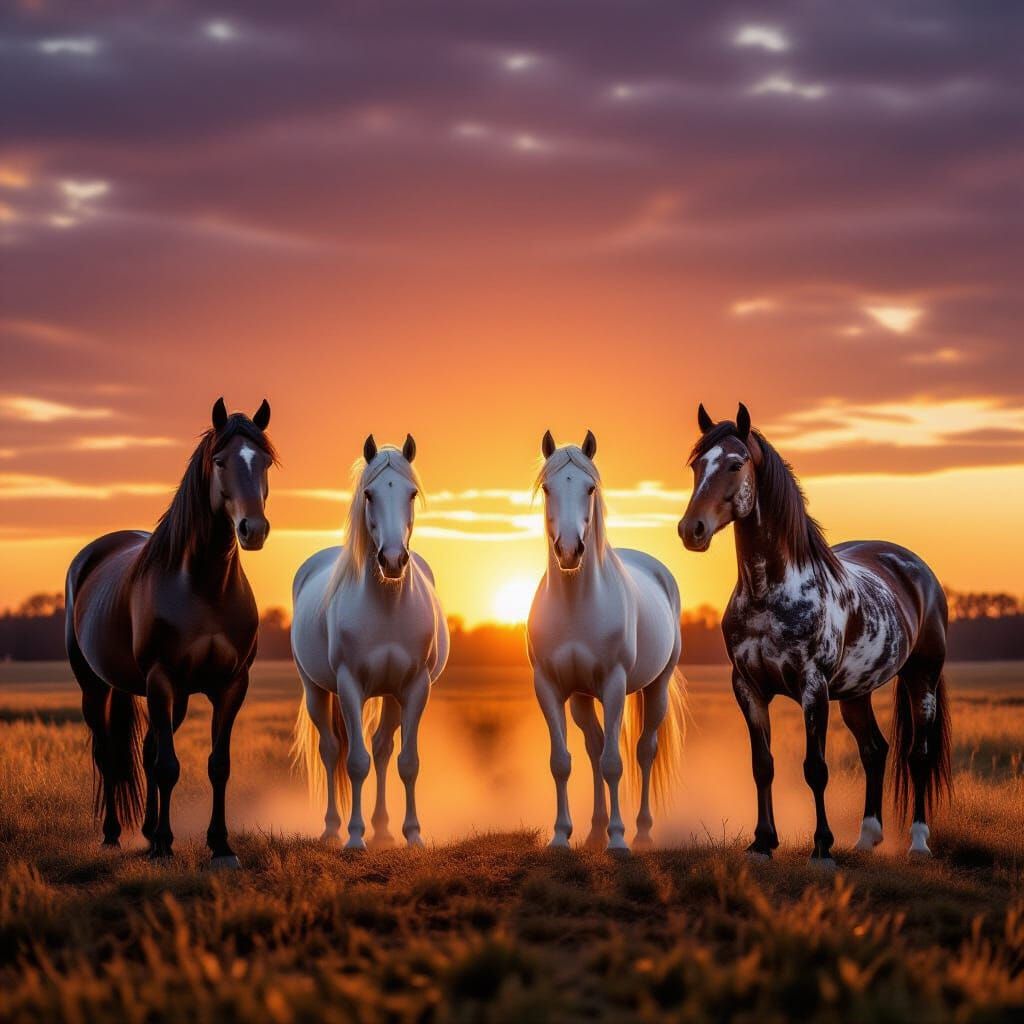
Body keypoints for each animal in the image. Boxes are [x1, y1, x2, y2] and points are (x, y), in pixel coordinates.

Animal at [65, 398, 276, 867]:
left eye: (265, 461)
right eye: (219, 461)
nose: (253, 529)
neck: (203, 585)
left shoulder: (231, 685)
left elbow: (217, 764)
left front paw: (220, 846)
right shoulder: (160, 679)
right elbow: (167, 766)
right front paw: (164, 845)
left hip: (172, 697)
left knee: (145, 751)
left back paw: (145, 832)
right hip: (97, 687)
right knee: (110, 755)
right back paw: (114, 835)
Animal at [290, 434, 449, 850]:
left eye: (411, 493)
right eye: (369, 494)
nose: (392, 560)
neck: (388, 607)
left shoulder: (414, 688)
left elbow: (406, 762)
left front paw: (412, 834)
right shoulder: (349, 686)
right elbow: (355, 762)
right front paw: (355, 837)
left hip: (391, 695)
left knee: (382, 749)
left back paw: (383, 829)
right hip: (316, 690)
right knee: (331, 751)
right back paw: (333, 829)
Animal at [527, 431, 687, 856]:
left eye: (590, 488)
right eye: (547, 488)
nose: (569, 550)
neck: (575, 604)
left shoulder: (614, 685)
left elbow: (615, 762)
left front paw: (618, 839)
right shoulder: (549, 687)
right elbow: (562, 762)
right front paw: (561, 836)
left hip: (656, 687)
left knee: (644, 751)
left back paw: (641, 832)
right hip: (583, 699)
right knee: (594, 748)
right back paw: (595, 831)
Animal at [677, 403, 951, 863]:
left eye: (735, 463)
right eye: (697, 465)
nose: (690, 530)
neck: (769, 592)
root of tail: (917, 568)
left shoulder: (813, 687)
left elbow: (815, 768)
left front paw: (822, 847)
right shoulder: (748, 687)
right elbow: (762, 765)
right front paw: (762, 842)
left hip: (921, 679)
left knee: (918, 757)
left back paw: (918, 842)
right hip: (856, 692)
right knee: (875, 751)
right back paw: (866, 838)